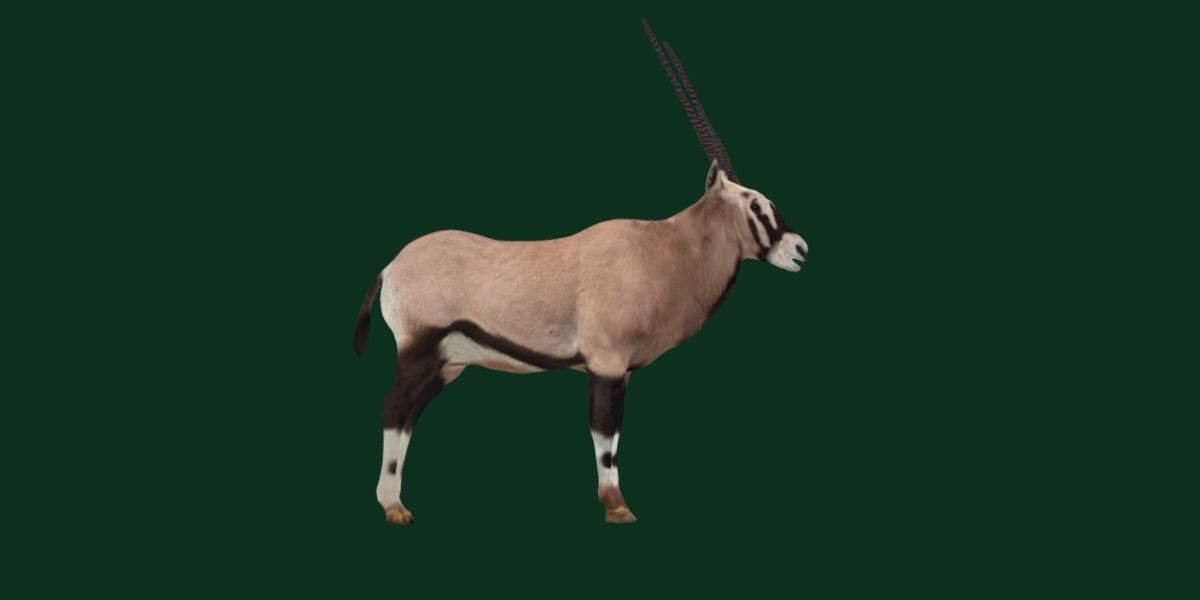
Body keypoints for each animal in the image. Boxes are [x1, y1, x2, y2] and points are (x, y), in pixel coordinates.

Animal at [353, 20, 808, 524]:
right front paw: (617, 507)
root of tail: (389, 267)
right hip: (418, 352)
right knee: (393, 410)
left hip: (448, 364)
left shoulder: (620, 369)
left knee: (406, 415)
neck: (666, 249)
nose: (800, 250)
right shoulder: (606, 363)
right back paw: (394, 506)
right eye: (755, 206)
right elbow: (605, 437)